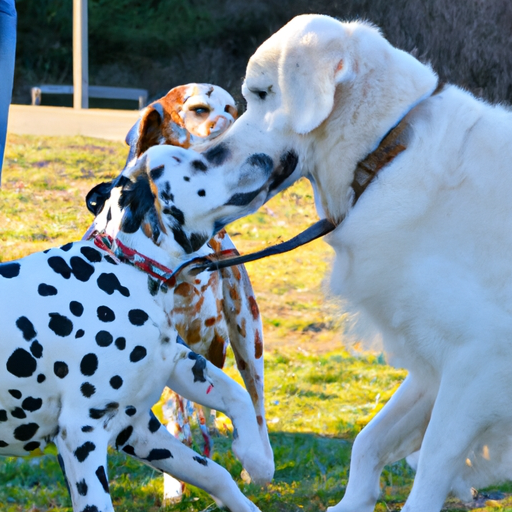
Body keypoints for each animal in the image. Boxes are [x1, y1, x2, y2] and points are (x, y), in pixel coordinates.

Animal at [0, 141, 280, 512]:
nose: (265, 157)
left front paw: (256, 460)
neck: (126, 268)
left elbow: (220, 458)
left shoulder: (138, 425)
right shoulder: (82, 436)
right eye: (197, 162)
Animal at [85, 83, 272, 500]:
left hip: (247, 341)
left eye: (232, 108)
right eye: (199, 109)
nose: (236, 129)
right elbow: (178, 426)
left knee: (254, 405)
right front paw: (174, 484)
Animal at [131, 14, 512, 512]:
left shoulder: (479, 362)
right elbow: (369, 440)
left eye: (262, 94)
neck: (385, 154)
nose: (211, 155)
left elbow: (433, 458)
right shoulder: (434, 364)